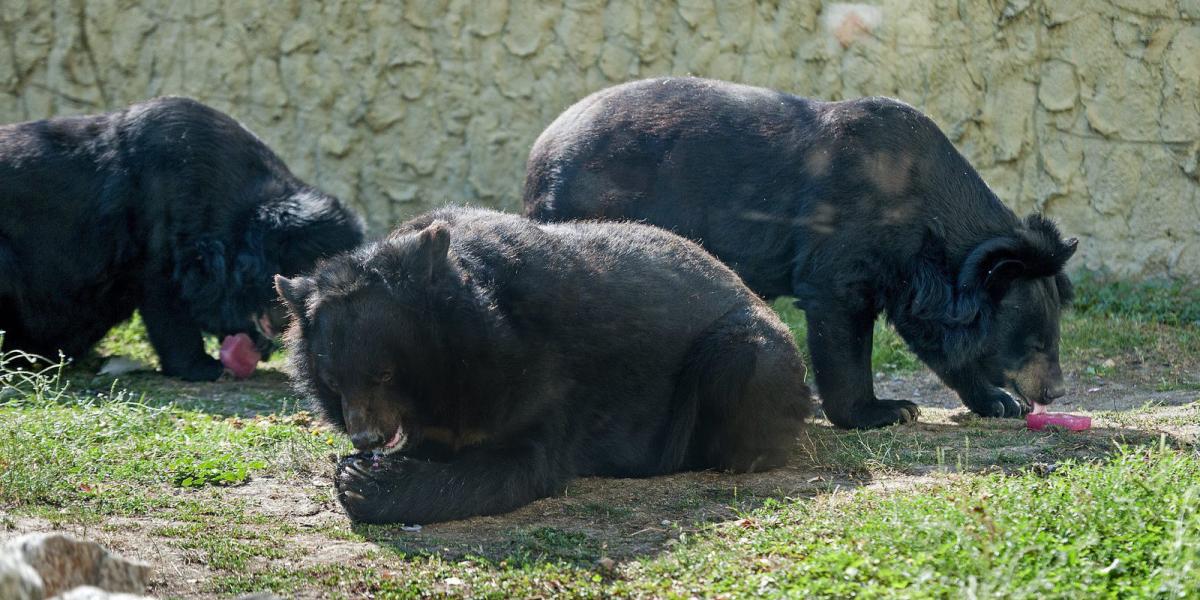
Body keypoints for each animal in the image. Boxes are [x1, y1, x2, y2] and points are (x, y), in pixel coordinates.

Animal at [276, 207, 811, 525]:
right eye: (332, 382)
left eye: (385, 373)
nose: (366, 439)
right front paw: (360, 467)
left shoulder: (538, 370)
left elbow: (521, 462)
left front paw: (364, 484)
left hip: (749, 353)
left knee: (745, 367)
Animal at [525, 77, 1080, 429]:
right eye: (1033, 344)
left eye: (1052, 340)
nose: (1053, 392)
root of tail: (540, 150)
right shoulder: (850, 238)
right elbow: (841, 321)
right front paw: (885, 411)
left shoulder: (913, 273)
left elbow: (936, 338)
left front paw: (999, 402)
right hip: (590, 207)